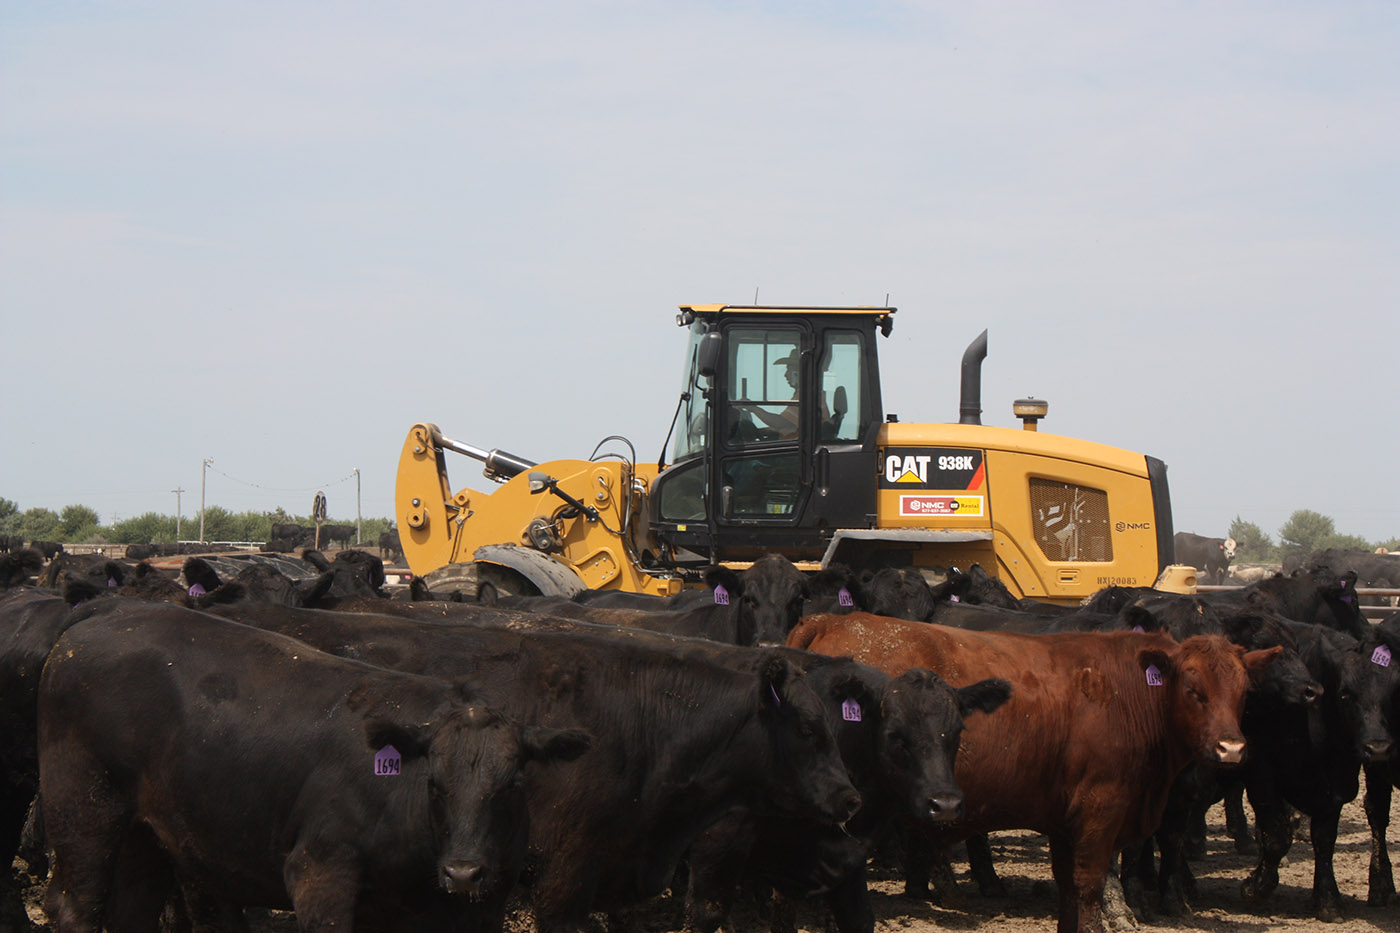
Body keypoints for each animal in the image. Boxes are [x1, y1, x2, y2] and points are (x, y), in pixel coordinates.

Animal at [38, 600, 592, 932]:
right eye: (433, 783)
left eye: (513, 783)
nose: (463, 872)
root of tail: (103, 619)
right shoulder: (319, 872)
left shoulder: (482, 908)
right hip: (82, 809)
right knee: (75, 905)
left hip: (148, 834)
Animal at [787, 613, 1280, 933]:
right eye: (1194, 690)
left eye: (1243, 693)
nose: (1232, 748)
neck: (1128, 692)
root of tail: (832, 621)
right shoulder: (1099, 814)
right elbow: (1088, 888)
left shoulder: (1065, 824)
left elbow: (1067, 890)